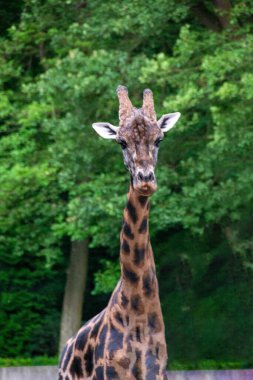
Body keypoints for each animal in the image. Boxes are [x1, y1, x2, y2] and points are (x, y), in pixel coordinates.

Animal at [58, 86, 181, 380]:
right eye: (121, 142)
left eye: (159, 139)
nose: (145, 180)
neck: (139, 307)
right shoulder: (111, 373)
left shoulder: (158, 372)